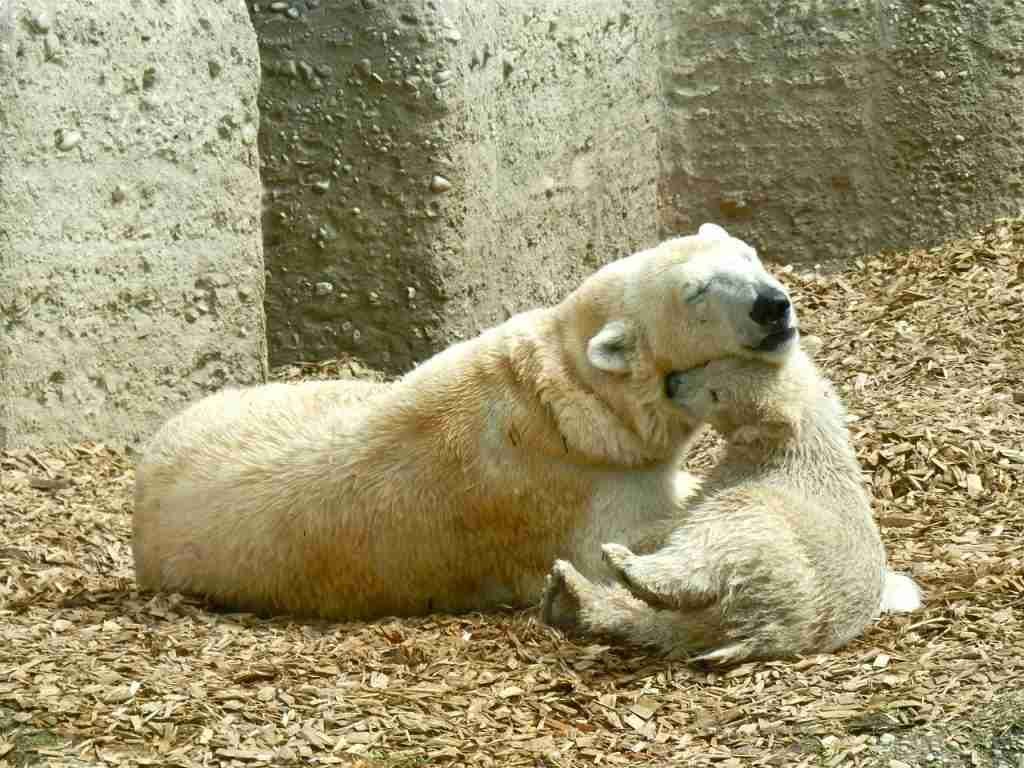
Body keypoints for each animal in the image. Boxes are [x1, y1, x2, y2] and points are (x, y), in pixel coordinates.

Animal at [130, 225, 798, 622]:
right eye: (697, 292)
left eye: (748, 254)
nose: (772, 304)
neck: (573, 397)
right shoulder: (564, 492)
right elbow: (623, 543)